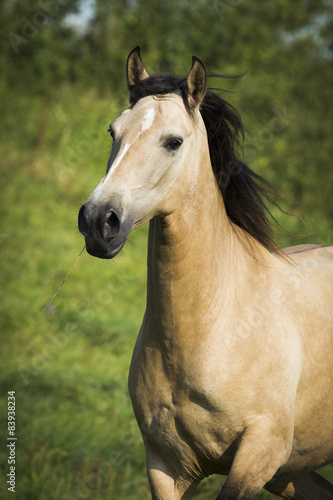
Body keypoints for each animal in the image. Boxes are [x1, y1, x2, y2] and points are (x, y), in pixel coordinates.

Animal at [78, 45, 332, 498]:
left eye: (173, 141)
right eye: (113, 131)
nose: (98, 220)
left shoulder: (258, 457)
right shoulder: (164, 466)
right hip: (294, 473)